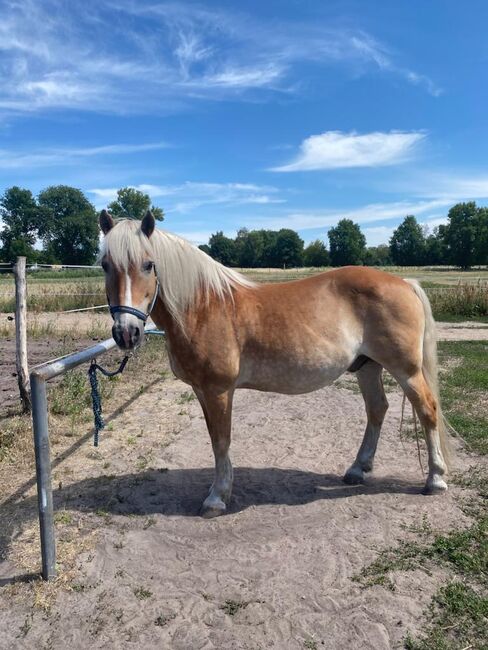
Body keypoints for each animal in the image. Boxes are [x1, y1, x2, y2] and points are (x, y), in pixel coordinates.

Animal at [98, 210, 450, 512]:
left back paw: (435, 479)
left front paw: (217, 497)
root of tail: (404, 283)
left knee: (427, 410)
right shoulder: (201, 390)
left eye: (148, 264)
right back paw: (357, 469)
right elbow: (215, 439)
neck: (203, 306)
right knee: (377, 409)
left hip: (406, 370)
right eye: (104, 265)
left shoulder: (218, 390)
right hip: (367, 366)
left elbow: (221, 440)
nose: (126, 333)